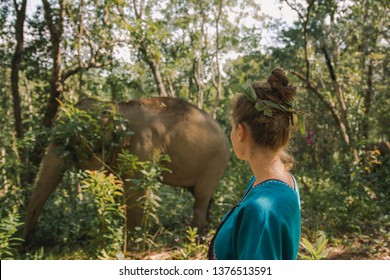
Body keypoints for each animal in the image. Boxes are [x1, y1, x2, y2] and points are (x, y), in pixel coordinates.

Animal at [22, 97, 230, 242]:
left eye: (69, 141)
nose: (27, 246)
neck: (117, 108)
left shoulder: (143, 145)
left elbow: (135, 189)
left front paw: (132, 244)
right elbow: (117, 184)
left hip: (216, 160)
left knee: (202, 194)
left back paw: (196, 238)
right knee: (202, 195)